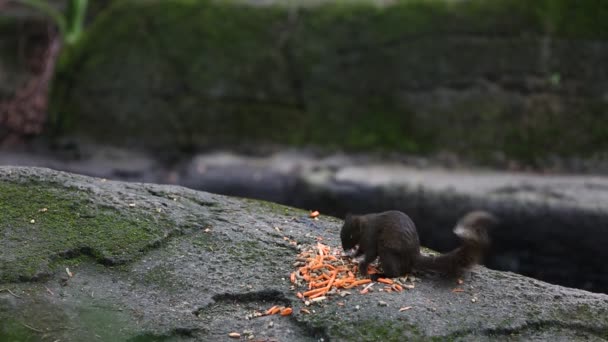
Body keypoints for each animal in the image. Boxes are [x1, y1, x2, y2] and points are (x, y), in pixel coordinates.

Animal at [340, 208, 496, 278]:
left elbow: (370, 254)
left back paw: (378, 275)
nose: (344, 248)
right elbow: (360, 251)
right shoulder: (363, 243)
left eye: (351, 235)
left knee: (395, 273)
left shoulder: (371, 237)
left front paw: (362, 269)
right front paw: (351, 256)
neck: (364, 227)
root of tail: (413, 257)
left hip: (387, 251)